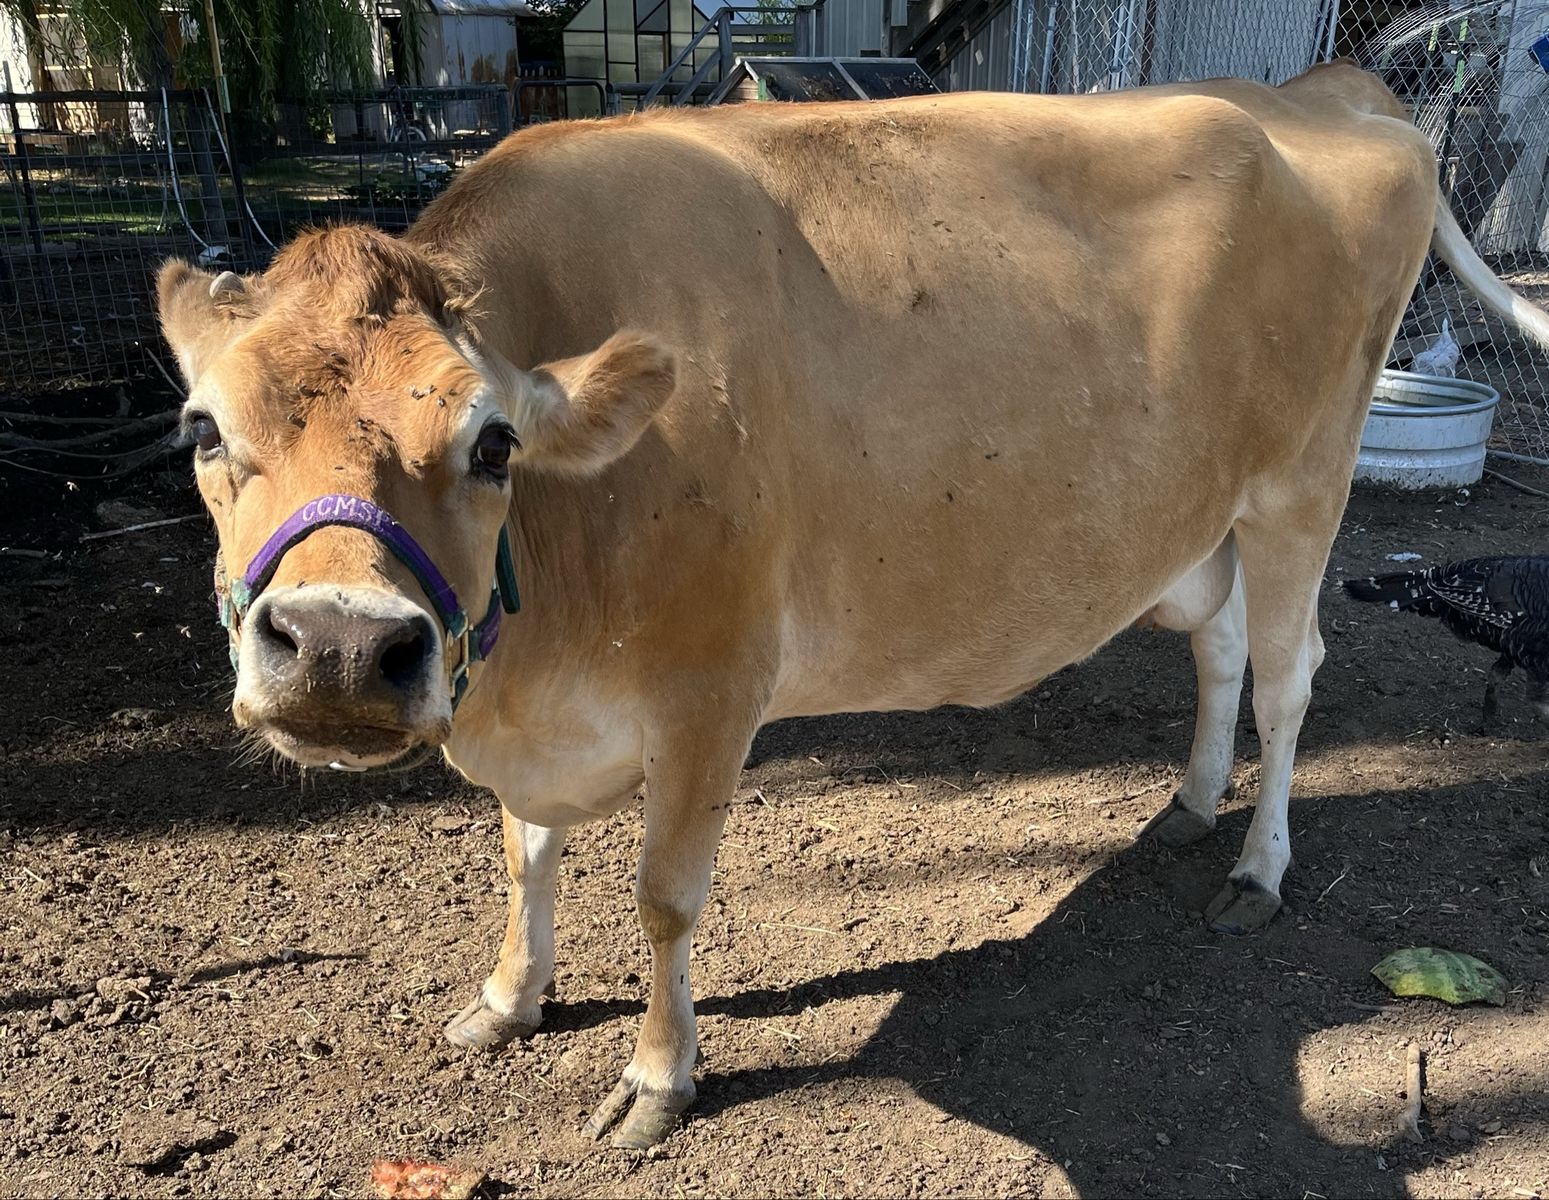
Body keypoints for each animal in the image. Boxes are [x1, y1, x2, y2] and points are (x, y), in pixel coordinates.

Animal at [155, 64, 1549, 1148]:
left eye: (493, 443)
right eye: (201, 427)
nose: (338, 647)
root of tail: (1329, 88)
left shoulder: (713, 690)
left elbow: (664, 896)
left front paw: (657, 1079)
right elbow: (523, 854)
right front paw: (509, 998)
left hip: (1302, 484)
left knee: (1286, 673)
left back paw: (1256, 866)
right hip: (1188, 516)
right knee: (1213, 646)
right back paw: (1188, 806)